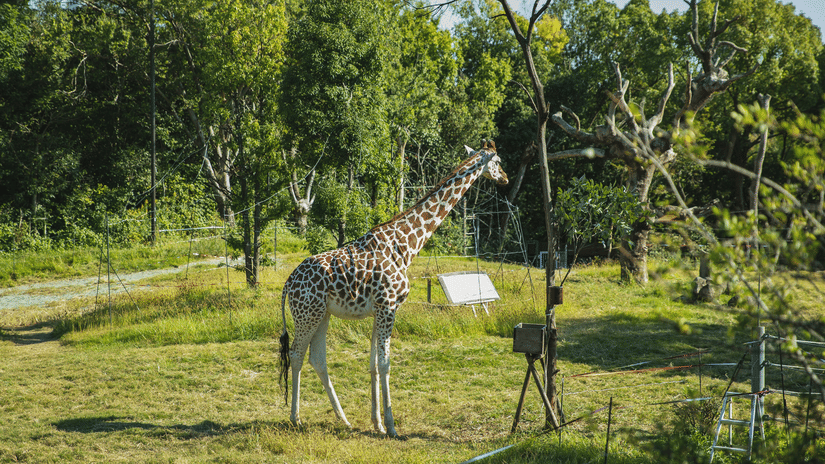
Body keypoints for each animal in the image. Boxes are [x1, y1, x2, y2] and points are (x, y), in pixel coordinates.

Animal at [278, 141, 508, 437]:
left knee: (316, 359)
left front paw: (376, 422)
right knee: (296, 354)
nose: (505, 178)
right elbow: (386, 363)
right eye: (498, 160)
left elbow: (374, 365)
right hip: (307, 314)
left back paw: (343, 419)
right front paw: (391, 426)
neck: (407, 245)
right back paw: (295, 418)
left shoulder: (379, 308)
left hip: (322, 314)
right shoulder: (388, 306)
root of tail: (288, 283)